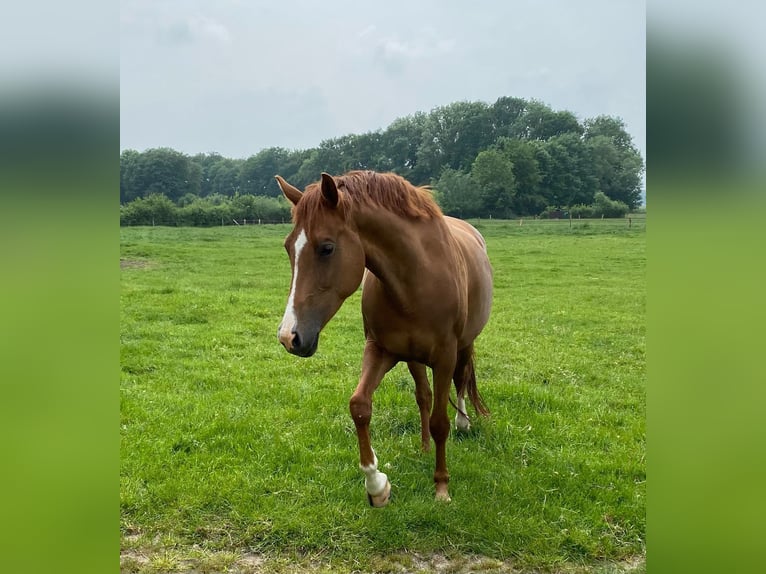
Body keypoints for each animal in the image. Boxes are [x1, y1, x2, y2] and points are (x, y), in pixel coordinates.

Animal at [276, 171, 492, 508]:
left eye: (326, 248)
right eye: (288, 248)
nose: (289, 336)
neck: (415, 279)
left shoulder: (445, 356)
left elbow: (440, 421)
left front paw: (441, 487)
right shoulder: (380, 350)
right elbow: (359, 406)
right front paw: (377, 486)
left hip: (464, 345)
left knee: (461, 380)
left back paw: (463, 423)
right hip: (414, 357)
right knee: (423, 396)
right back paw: (424, 448)